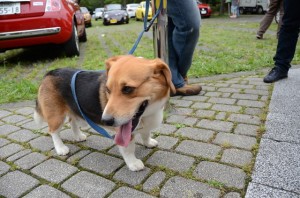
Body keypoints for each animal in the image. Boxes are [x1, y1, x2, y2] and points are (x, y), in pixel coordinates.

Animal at [33, 55, 175, 171]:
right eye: (108, 90)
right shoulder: (124, 133)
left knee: (72, 122)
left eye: (128, 89)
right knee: (53, 131)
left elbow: (146, 134)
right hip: (56, 116)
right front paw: (133, 163)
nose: (105, 120)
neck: (146, 114)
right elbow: (128, 149)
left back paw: (78, 136)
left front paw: (148, 142)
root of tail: (49, 73)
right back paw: (60, 148)